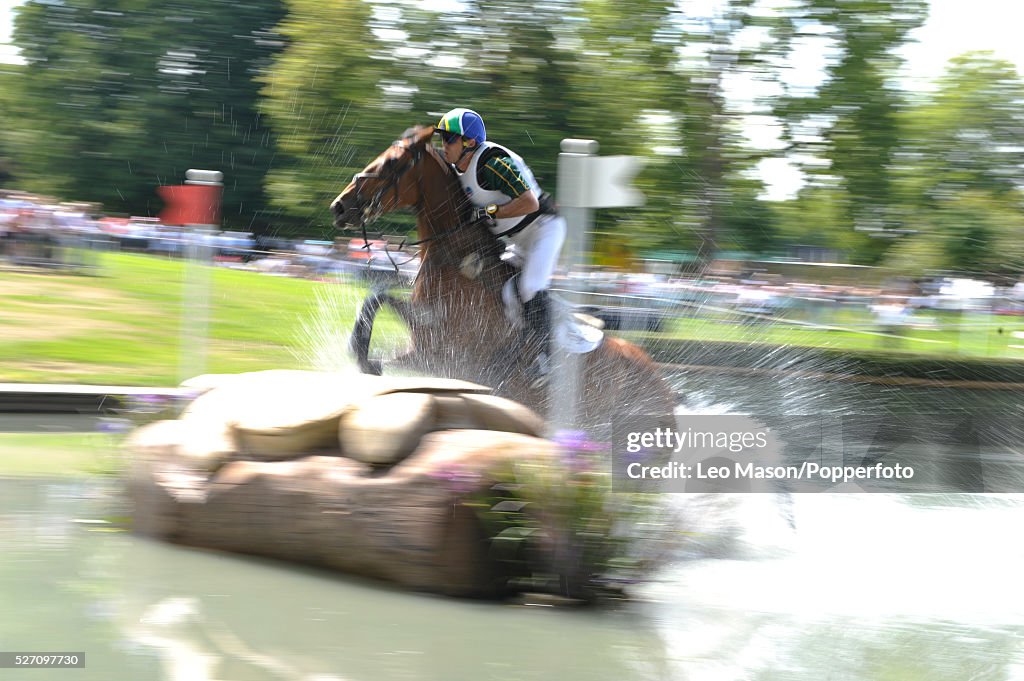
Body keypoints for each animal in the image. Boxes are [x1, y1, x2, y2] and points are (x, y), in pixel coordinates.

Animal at [331, 124, 675, 428]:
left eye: (391, 162)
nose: (339, 207)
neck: (457, 257)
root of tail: (664, 383)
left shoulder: (438, 354)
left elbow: (385, 356)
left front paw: (368, 362)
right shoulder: (425, 323)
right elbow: (376, 298)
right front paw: (357, 348)